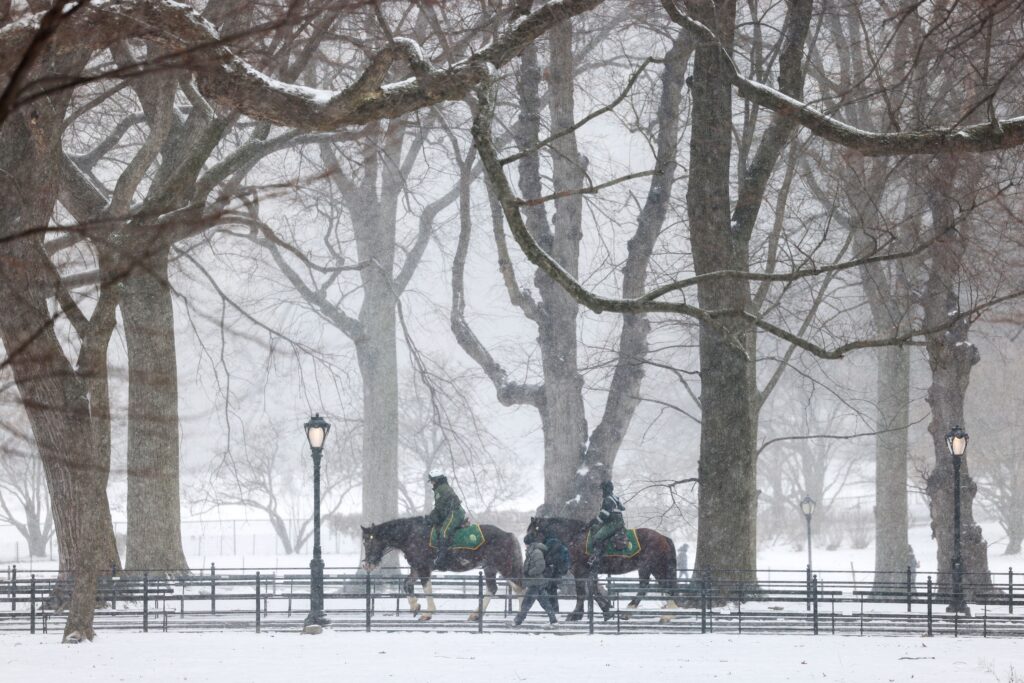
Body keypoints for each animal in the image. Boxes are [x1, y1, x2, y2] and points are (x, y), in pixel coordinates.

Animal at [362, 518, 524, 618]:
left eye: (369, 542)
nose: (366, 564)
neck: (411, 535)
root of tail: (508, 535)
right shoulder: (416, 568)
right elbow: (406, 584)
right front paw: (415, 606)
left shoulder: (423, 568)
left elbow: (427, 588)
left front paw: (428, 613)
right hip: (491, 568)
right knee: (494, 589)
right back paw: (477, 614)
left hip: (505, 567)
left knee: (520, 587)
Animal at [528, 518, 679, 626]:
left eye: (531, 532)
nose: (526, 542)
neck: (575, 537)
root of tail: (663, 537)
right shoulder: (590, 572)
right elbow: (594, 591)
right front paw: (607, 611)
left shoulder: (580, 572)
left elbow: (582, 594)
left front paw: (575, 614)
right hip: (646, 568)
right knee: (645, 587)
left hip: (656, 567)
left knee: (666, 588)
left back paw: (666, 616)